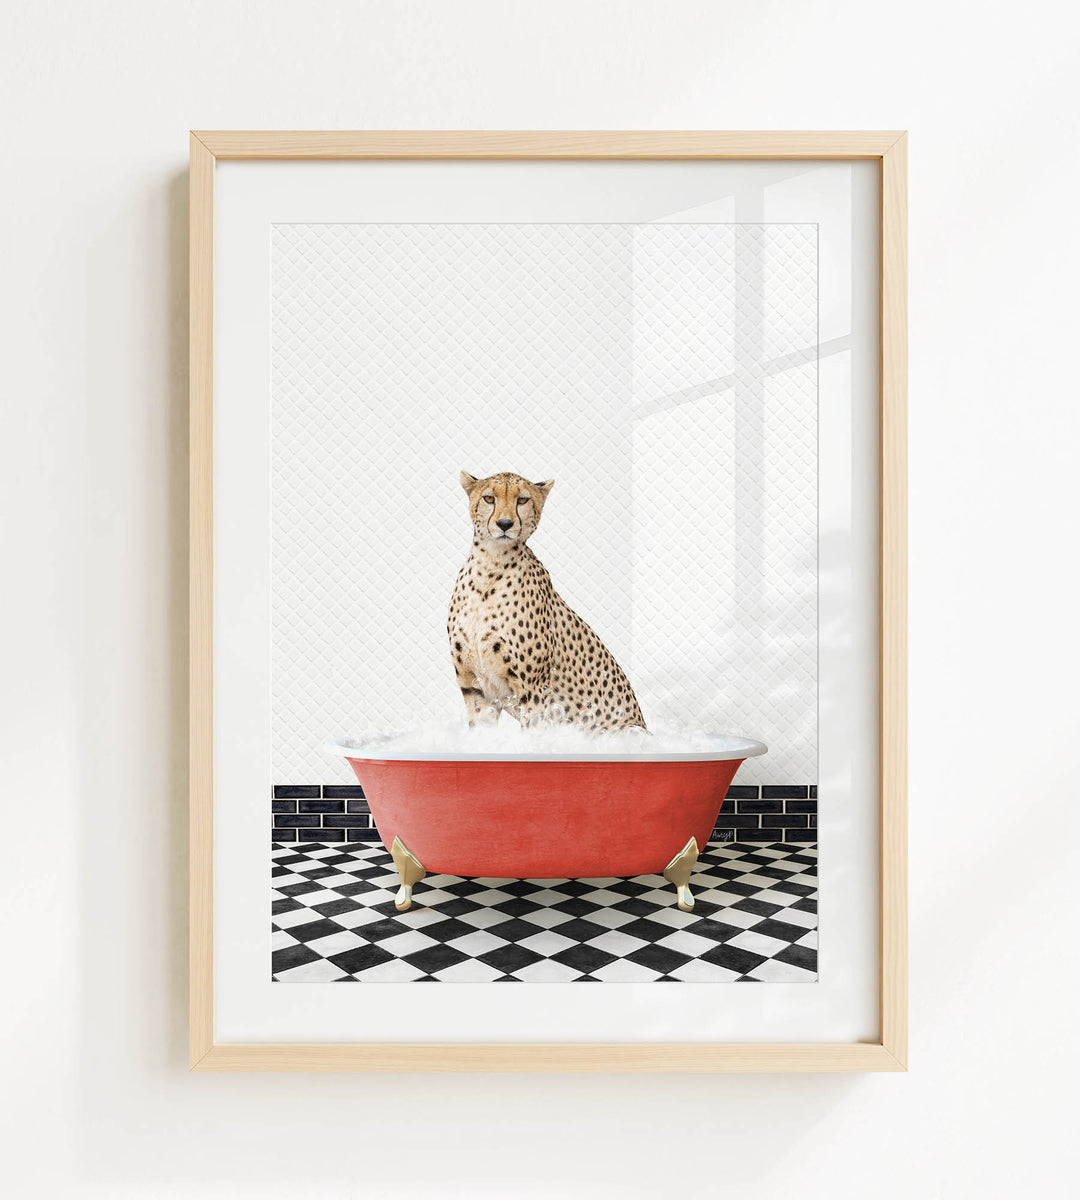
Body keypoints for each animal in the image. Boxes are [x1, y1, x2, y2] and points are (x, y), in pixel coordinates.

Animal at [447, 470, 647, 733]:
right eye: (489, 498)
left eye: (522, 500)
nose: (504, 524)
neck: (490, 565)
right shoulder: (474, 687)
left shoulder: (533, 691)